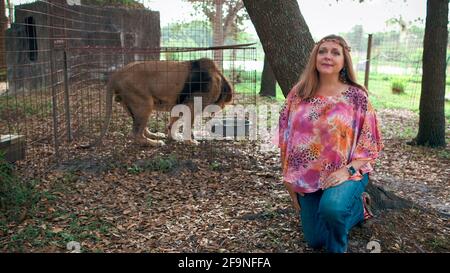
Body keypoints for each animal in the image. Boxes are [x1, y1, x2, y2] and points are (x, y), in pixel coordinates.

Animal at [83, 56, 236, 147]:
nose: (214, 112)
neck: (218, 80)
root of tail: (117, 74)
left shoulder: (180, 105)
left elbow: (172, 123)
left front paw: (173, 136)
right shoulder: (191, 106)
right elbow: (188, 125)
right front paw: (190, 141)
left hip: (133, 105)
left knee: (140, 129)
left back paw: (155, 135)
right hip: (145, 103)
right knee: (136, 134)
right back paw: (154, 143)